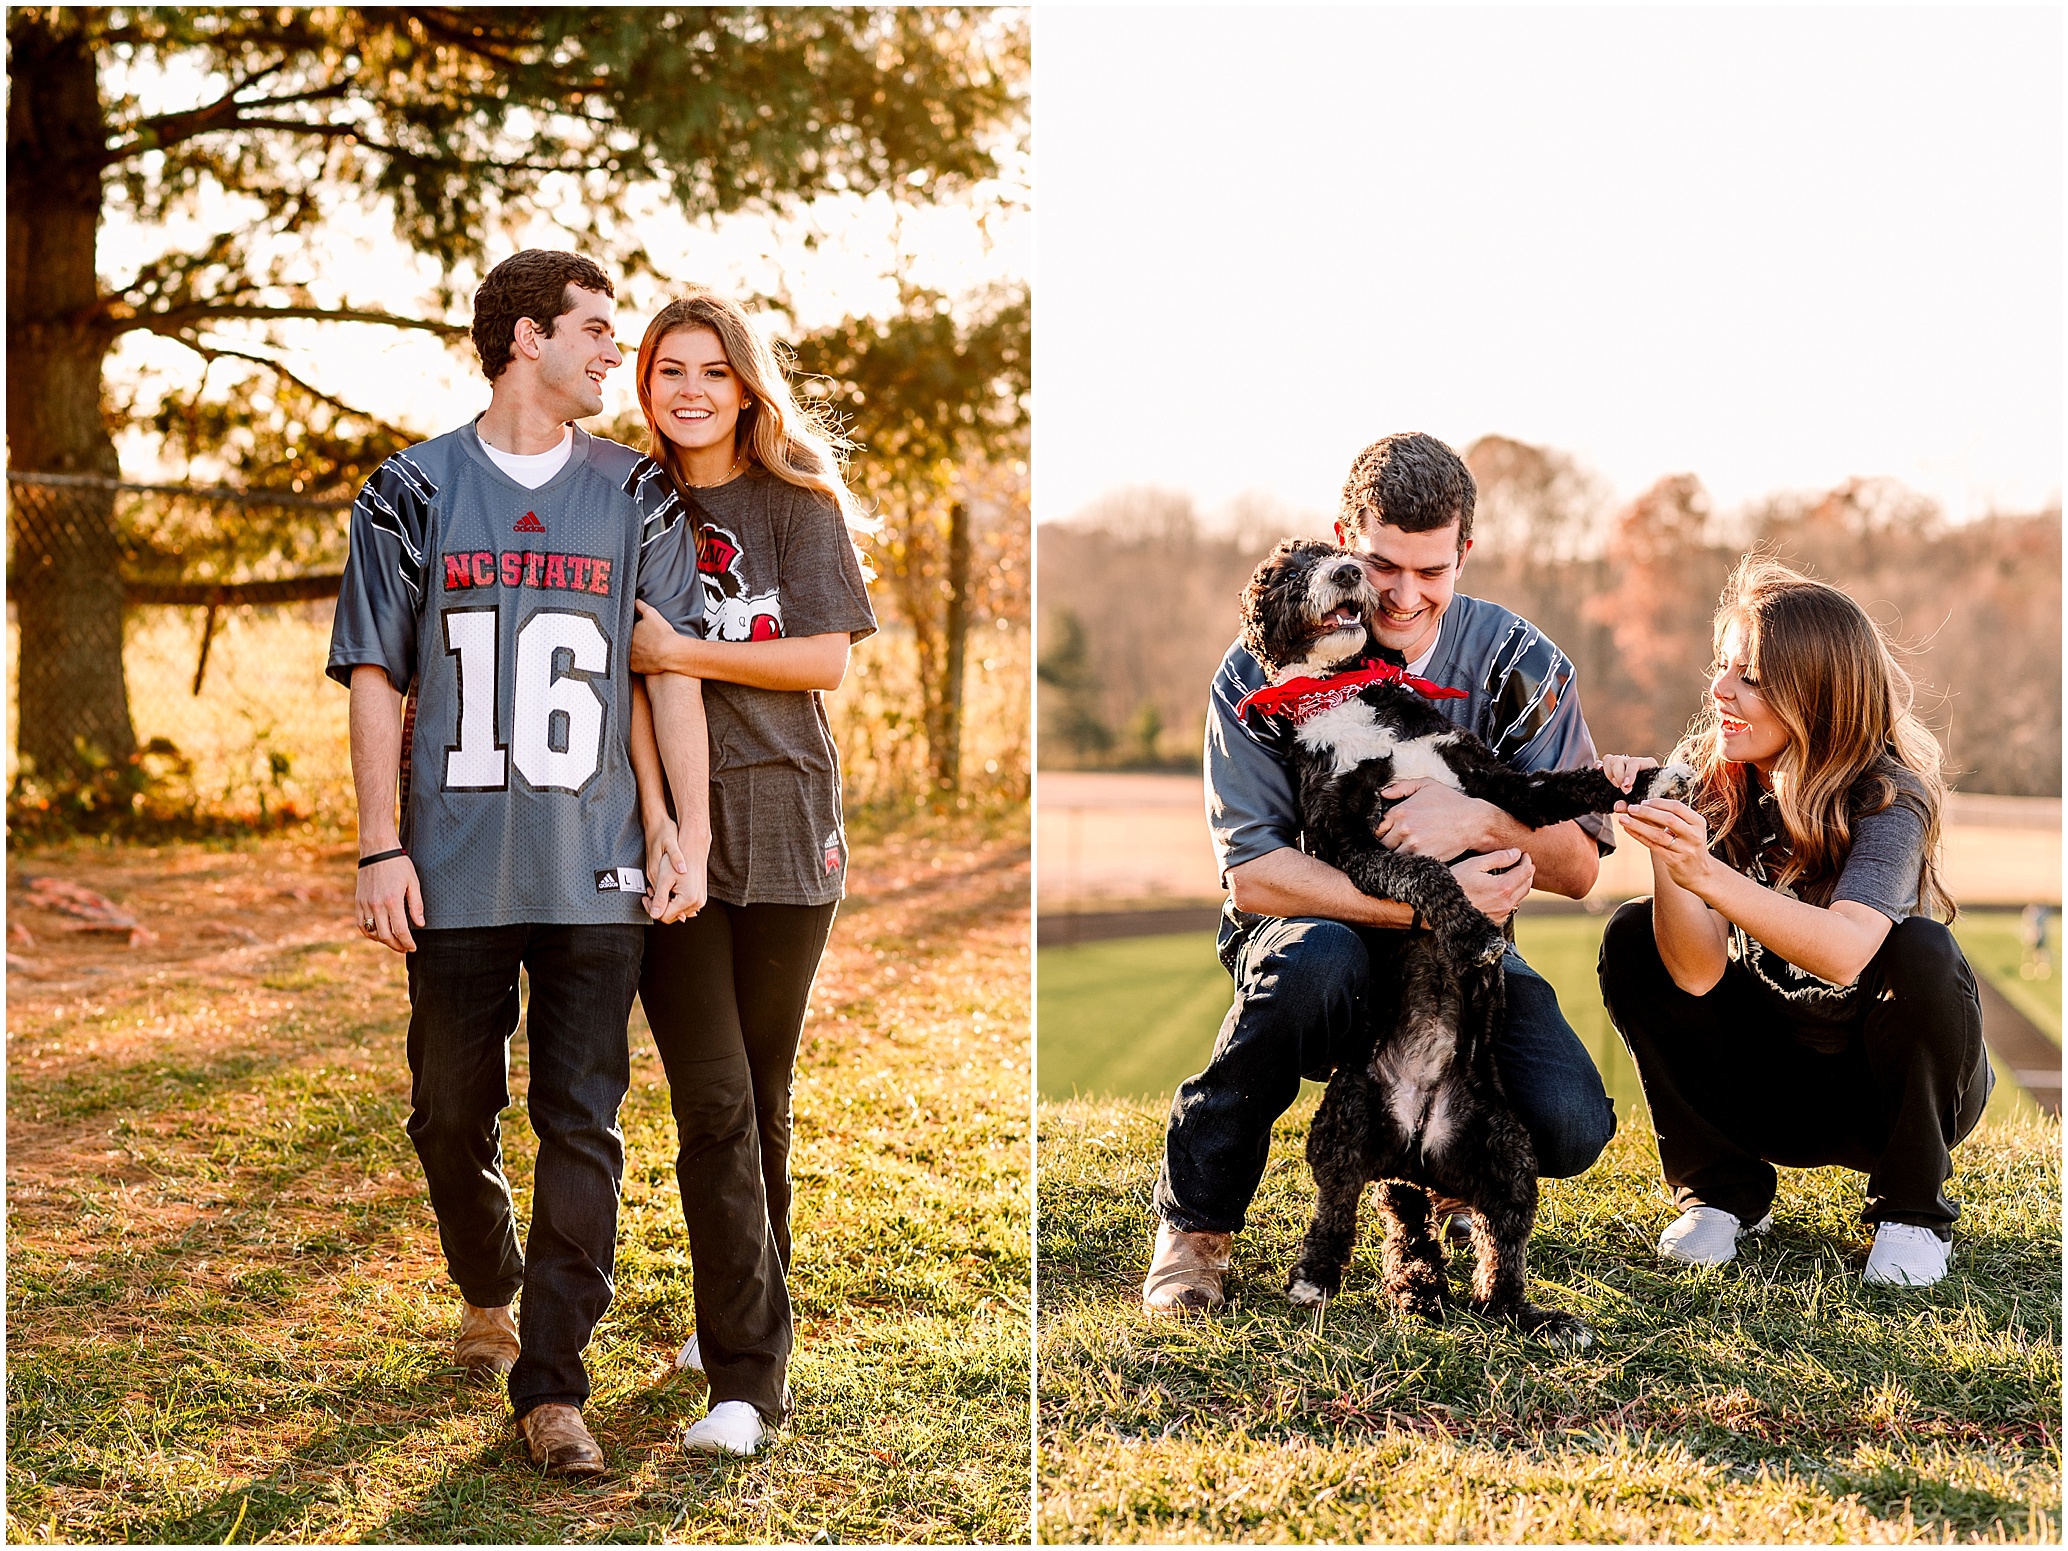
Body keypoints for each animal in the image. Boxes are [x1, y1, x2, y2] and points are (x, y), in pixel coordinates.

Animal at [1232, 541, 1687, 1340]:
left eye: (1341, 555)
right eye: (1290, 573)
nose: (1347, 572)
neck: (1345, 693)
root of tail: (1420, 1138)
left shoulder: (1494, 782)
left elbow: (1568, 786)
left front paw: (1654, 779)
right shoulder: (1344, 841)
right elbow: (1421, 869)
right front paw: (1471, 926)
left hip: (1507, 1153)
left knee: (1485, 1252)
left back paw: (1512, 1310)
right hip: (1346, 1120)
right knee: (1347, 1207)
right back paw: (1327, 1279)